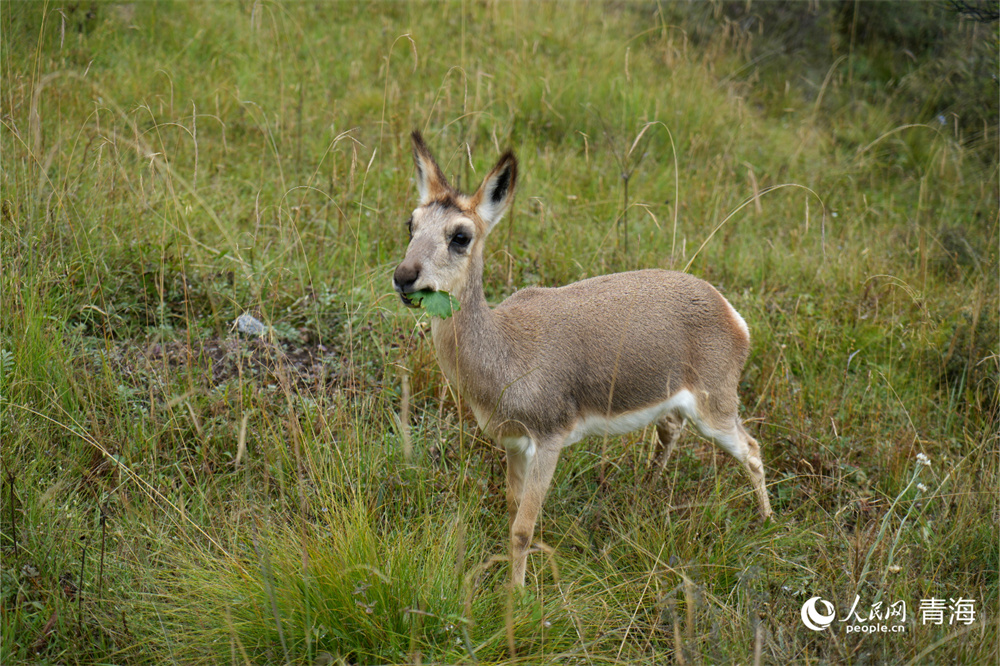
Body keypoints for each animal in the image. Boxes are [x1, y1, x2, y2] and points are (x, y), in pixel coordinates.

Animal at [390, 131, 772, 588]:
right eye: (411, 223)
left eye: (460, 236)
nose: (404, 276)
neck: (507, 351)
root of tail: (731, 314)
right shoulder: (514, 443)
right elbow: (511, 507)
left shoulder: (549, 441)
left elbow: (522, 528)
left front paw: (516, 594)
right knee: (671, 430)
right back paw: (649, 489)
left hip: (716, 410)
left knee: (751, 448)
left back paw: (766, 521)